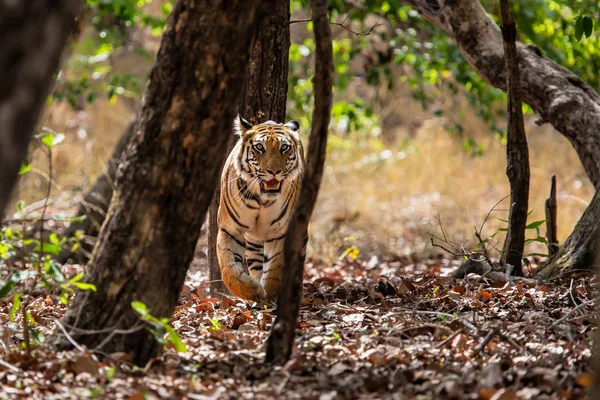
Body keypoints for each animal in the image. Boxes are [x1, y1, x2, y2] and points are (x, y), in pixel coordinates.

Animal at [217, 115, 308, 300]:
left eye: (284, 148)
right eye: (259, 147)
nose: (274, 171)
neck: (262, 200)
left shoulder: (280, 233)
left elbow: (275, 270)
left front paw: (270, 295)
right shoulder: (230, 229)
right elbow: (228, 269)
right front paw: (253, 290)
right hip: (253, 240)